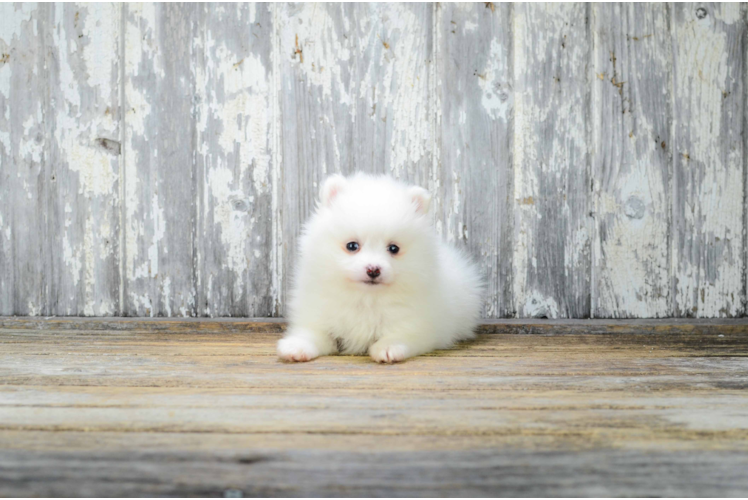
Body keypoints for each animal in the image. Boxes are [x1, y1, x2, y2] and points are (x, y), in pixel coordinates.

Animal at [278, 175, 482, 364]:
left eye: (393, 248)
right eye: (352, 246)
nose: (373, 270)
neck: (365, 299)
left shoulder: (420, 325)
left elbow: (401, 335)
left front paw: (388, 348)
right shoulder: (320, 316)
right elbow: (312, 334)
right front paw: (296, 347)